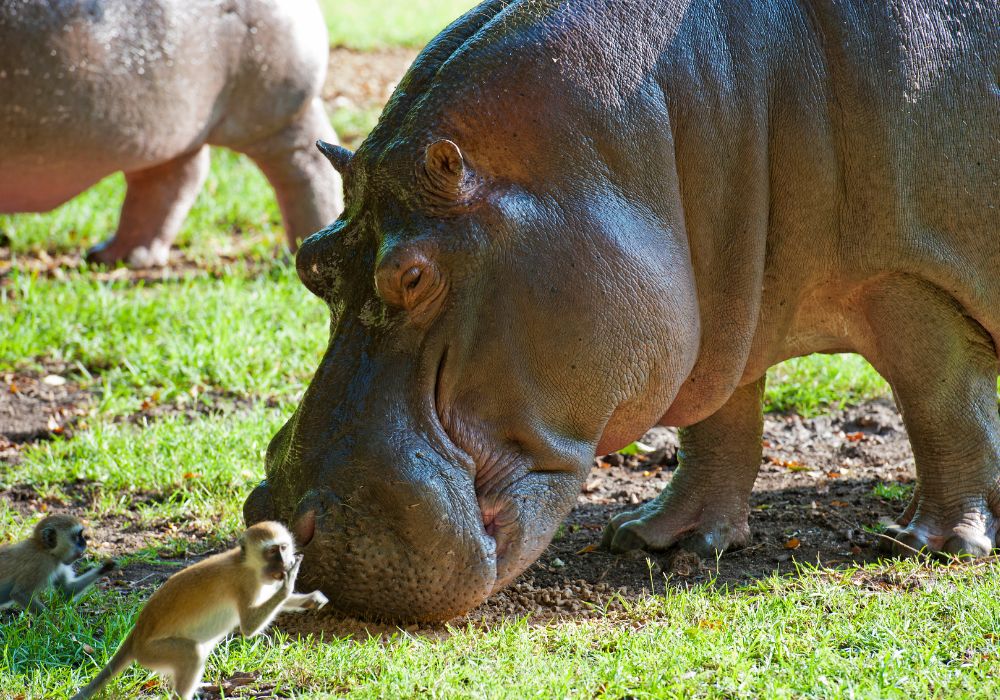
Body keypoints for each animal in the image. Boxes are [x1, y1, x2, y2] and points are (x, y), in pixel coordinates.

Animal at [0, 0, 342, 266]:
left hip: (274, 110)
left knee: (304, 166)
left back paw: (298, 251)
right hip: (166, 129)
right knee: (171, 180)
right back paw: (113, 256)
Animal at [72, 520, 328, 700]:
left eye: (283, 548)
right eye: (272, 551)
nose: (284, 562)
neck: (247, 565)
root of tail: (137, 634)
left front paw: (310, 599)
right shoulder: (245, 585)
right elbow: (249, 627)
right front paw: (290, 581)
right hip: (153, 652)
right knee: (192, 653)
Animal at [244, 0, 1000, 624]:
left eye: (411, 275)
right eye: (311, 260)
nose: (287, 530)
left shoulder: (905, 278)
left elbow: (940, 404)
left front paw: (932, 545)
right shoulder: (717, 308)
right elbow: (718, 420)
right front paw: (661, 539)